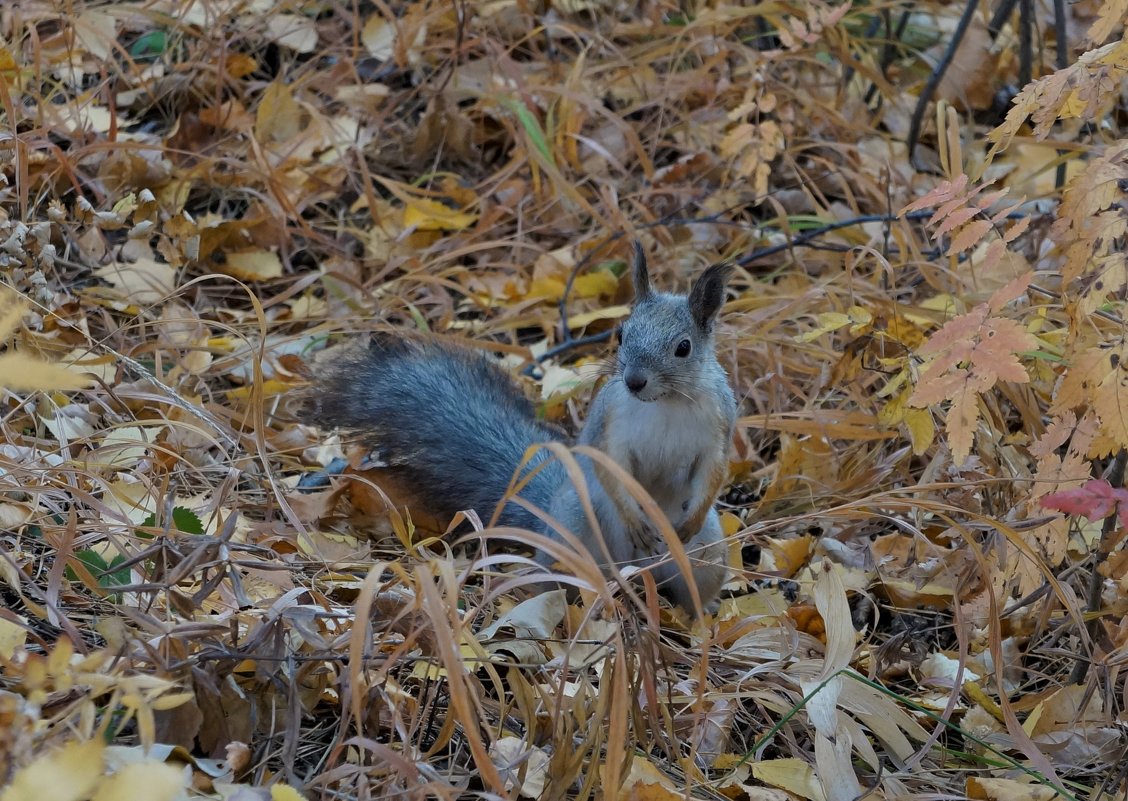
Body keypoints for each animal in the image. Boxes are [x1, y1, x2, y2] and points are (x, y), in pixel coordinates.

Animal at [304, 241, 735, 613]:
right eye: (621, 333)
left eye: (683, 347)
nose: (634, 381)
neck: (666, 404)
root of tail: (636, 573)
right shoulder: (609, 422)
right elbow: (612, 469)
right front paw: (635, 518)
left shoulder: (719, 425)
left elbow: (713, 472)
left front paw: (688, 520)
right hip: (574, 529)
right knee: (559, 584)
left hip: (709, 551)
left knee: (693, 588)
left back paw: (701, 615)